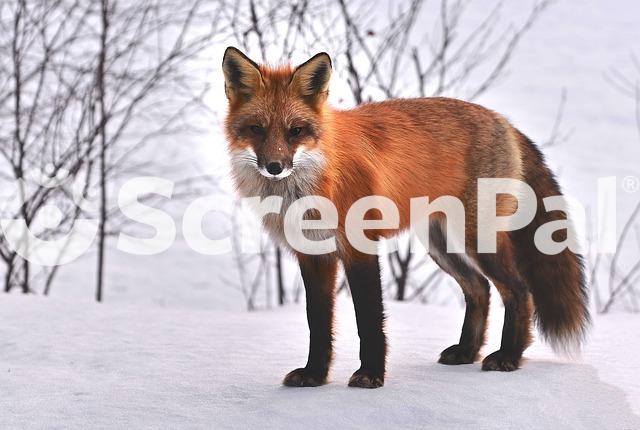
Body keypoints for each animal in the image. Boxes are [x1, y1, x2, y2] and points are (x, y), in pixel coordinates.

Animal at [222, 46, 589, 389]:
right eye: (256, 129)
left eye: (295, 131)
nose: (275, 166)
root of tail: (503, 121)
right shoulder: (314, 255)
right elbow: (318, 323)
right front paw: (314, 375)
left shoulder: (360, 247)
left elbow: (369, 320)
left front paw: (370, 375)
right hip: (441, 245)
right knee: (479, 289)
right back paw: (467, 352)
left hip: (476, 239)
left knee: (519, 290)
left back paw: (509, 356)